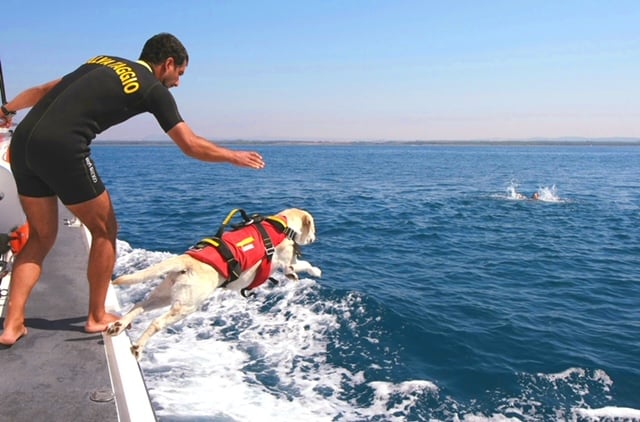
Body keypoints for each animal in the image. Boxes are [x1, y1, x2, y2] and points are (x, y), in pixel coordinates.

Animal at [109, 209, 324, 360]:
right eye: (313, 227)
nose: (315, 237)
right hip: (186, 306)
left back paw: (119, 325)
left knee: (140, 305)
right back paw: (138, 347)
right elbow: (302, 265)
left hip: (165, 294)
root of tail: (186, 260)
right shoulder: (287, 261)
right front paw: (315, 270)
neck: (283, 225)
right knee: (156, 322)